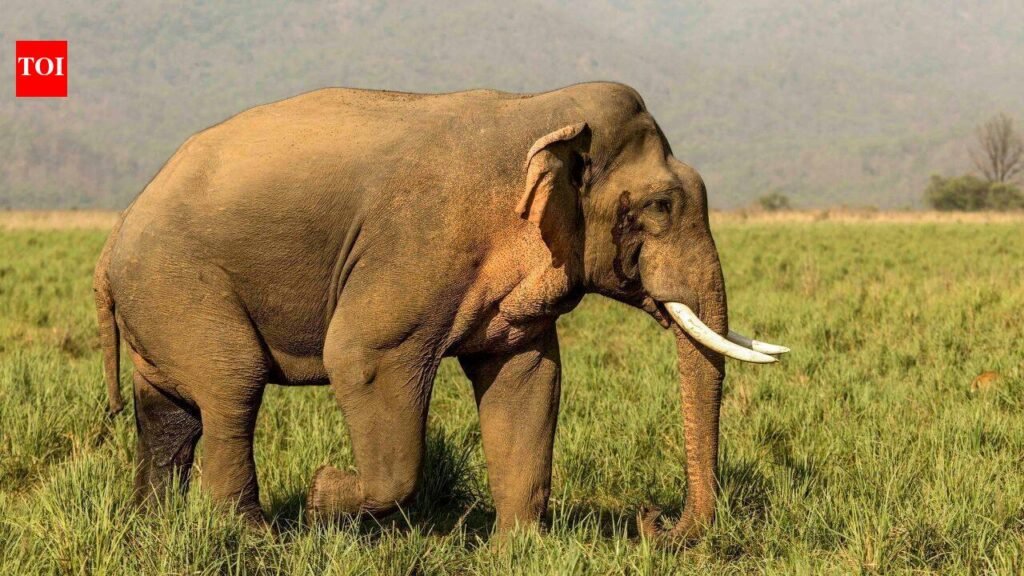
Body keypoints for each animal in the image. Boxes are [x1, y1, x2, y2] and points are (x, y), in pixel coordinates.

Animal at [93, 81, 787, 543]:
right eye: (661, 207)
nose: (653, 520)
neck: (540, 109)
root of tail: (114, 234)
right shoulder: (415, 243)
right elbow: (361, 356)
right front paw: (321, 497)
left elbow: (528, 379)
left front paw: (516, 553)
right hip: (179, 284)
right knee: (232, 386)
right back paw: (253, 539)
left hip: (157, 305)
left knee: (169, 414)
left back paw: (155, 528)